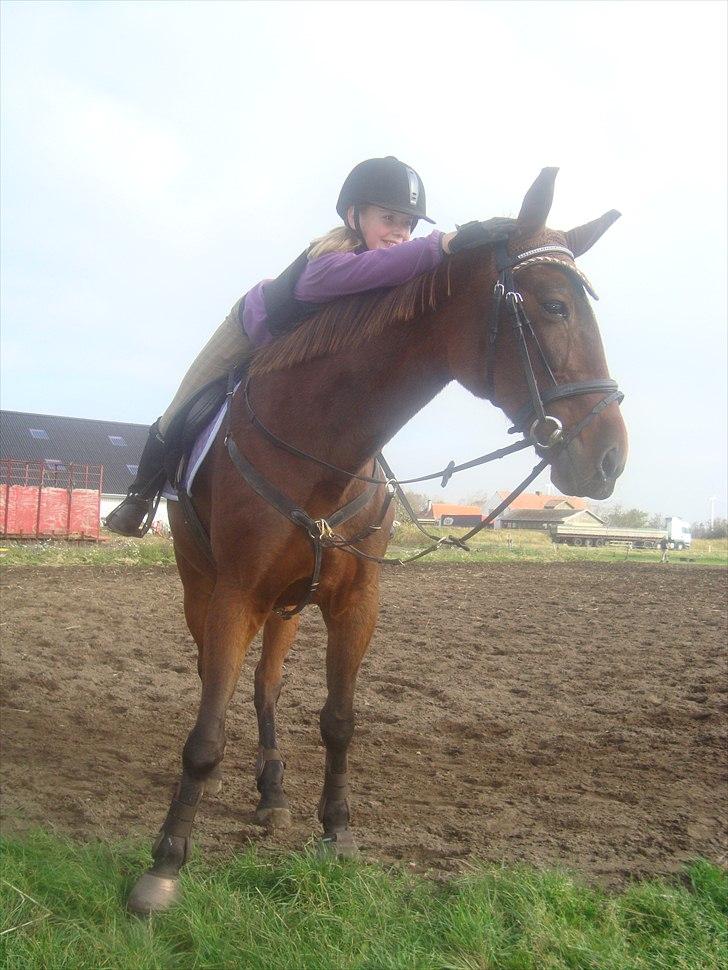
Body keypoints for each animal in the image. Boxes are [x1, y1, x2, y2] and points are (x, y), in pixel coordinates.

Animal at [125, 170, 624, 912]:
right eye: (557, 306)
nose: (610, 459)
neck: (323, 449)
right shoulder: (234, 594)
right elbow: (206, 732)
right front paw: (164, 866)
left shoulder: (356, 599)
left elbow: (339, 720)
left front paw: (336, 832)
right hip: (204, 587)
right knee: (227, 682)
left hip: (286, 605)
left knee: (267, 687)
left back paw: (272, 793)